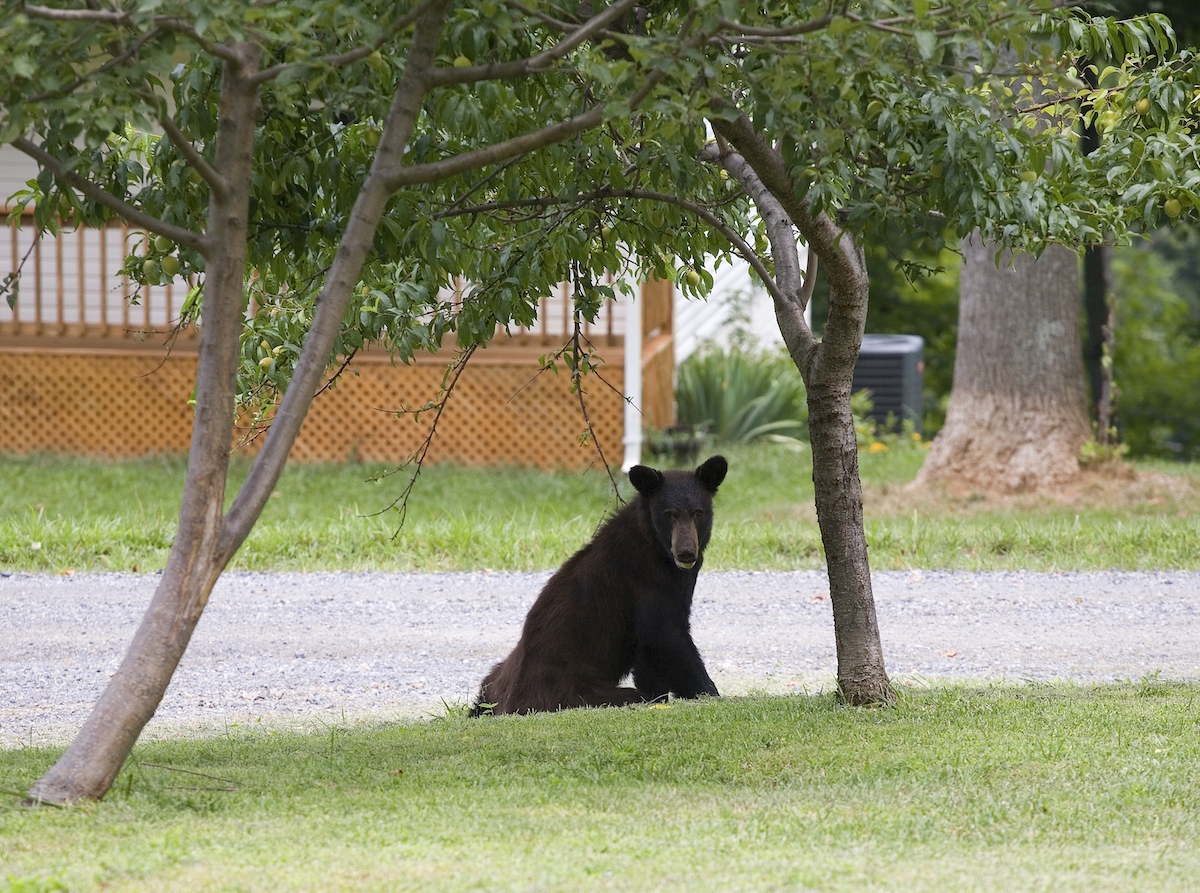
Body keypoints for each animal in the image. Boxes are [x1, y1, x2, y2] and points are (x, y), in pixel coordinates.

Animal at [469, 455, 727, 716]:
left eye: (698, 512)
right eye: (669, 514)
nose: (686, 552)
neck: (656, 543)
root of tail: (511, 703)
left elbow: (649, 656)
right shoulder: (648, 578)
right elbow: (664, 634)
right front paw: (711, 693)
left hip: (496, 678)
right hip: (578, 691)